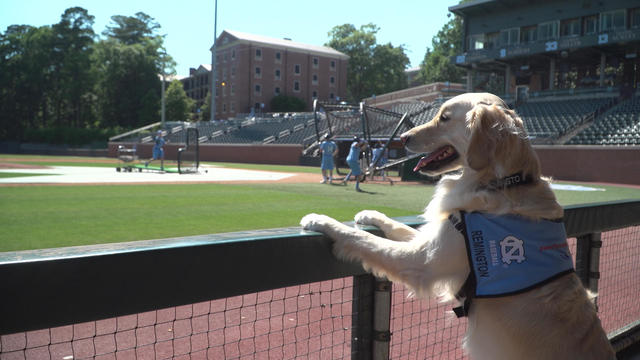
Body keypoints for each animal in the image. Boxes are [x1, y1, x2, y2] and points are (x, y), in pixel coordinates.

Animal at [302, 93, 616, 360]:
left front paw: (320, 220)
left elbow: (362, 240)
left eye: (444, 117)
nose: (402, 137)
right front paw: (370, 215)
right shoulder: (442, 234)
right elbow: (394, 228)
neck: (500, 183)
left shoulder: (422, 261)